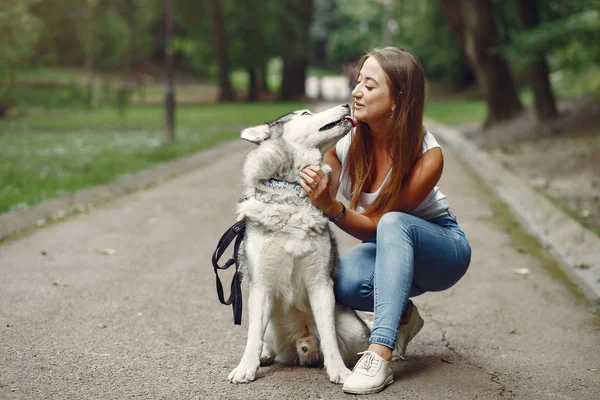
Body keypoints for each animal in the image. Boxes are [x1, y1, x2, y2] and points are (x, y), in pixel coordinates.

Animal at [230, 104, 370, 384]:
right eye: (305, 114)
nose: (347, 105)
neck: (291, 189)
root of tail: (301, 343)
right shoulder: (260, 285)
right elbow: (253, 337)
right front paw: (245, 368)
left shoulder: (320, 284)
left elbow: (329, 337)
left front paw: (339, 371)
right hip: (270, 324)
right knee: (264, 342)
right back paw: (264, 356)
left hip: (354, 329)